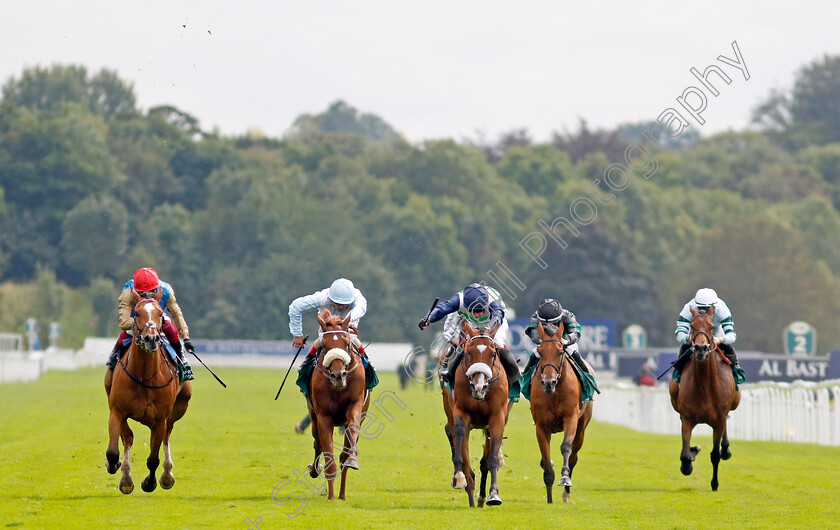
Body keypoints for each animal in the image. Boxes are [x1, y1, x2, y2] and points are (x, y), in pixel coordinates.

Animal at [105, 290, 192, 492]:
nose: (151, 338)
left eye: (160, 314)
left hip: (179, 407)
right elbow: (114, 450)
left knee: (167, 435)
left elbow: (153, 459)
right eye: (137, 313)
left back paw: (167, 475)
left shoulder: (159, 419)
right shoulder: (117, 411)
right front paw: (116, 468)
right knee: (128, 438)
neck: (144, 376)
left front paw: (150, 482)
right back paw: (126, 478)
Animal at [302, 308, 368, 498]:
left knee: (343, 455)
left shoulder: (355, 406)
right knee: (317, 443)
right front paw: (330, 497)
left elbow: (352, 430)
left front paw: (352, 460)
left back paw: (342, 494)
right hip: (313, 416)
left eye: (346, 344)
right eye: (324, 345)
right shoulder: (324, 416)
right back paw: (315, 471)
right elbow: (327, 454)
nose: (338, 375)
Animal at [446, 320, 512, 506]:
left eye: (493, 353)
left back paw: (482, 497)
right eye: (469, 352)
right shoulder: (460, 412)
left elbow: (491, 459)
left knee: (486, 460)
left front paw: (493, 494)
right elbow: (461, 447)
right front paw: (460, 477)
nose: (479, 387)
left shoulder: (497, 418)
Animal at [528, 320, 592, 502]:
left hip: (581, 428)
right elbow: (546, 460)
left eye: (559, 352)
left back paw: (566, 491)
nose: (549, 382)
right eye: (540, 352)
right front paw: (549, 498)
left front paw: (564, 478)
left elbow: (565, 448)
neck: (555, 393)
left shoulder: (570, 418)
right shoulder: (541, 426)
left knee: (574, 456)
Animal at [668, 308, 740, 488]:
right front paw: (690, 458)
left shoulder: (719, 419)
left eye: (711, 326)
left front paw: (714, 484)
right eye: (692, 325)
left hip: (733, 404)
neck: (704, 386)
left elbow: (715, 455)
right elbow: (685, 454)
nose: (701, 348)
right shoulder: (687, 418)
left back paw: (726, 449)